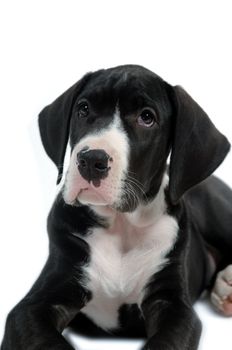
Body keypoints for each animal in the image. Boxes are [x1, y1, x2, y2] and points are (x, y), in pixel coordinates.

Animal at [1, 66, 232, 350]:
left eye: (147, 117)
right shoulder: (34, 305)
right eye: (83, 109)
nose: (91, 159)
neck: (121, 225)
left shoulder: (175, 307)